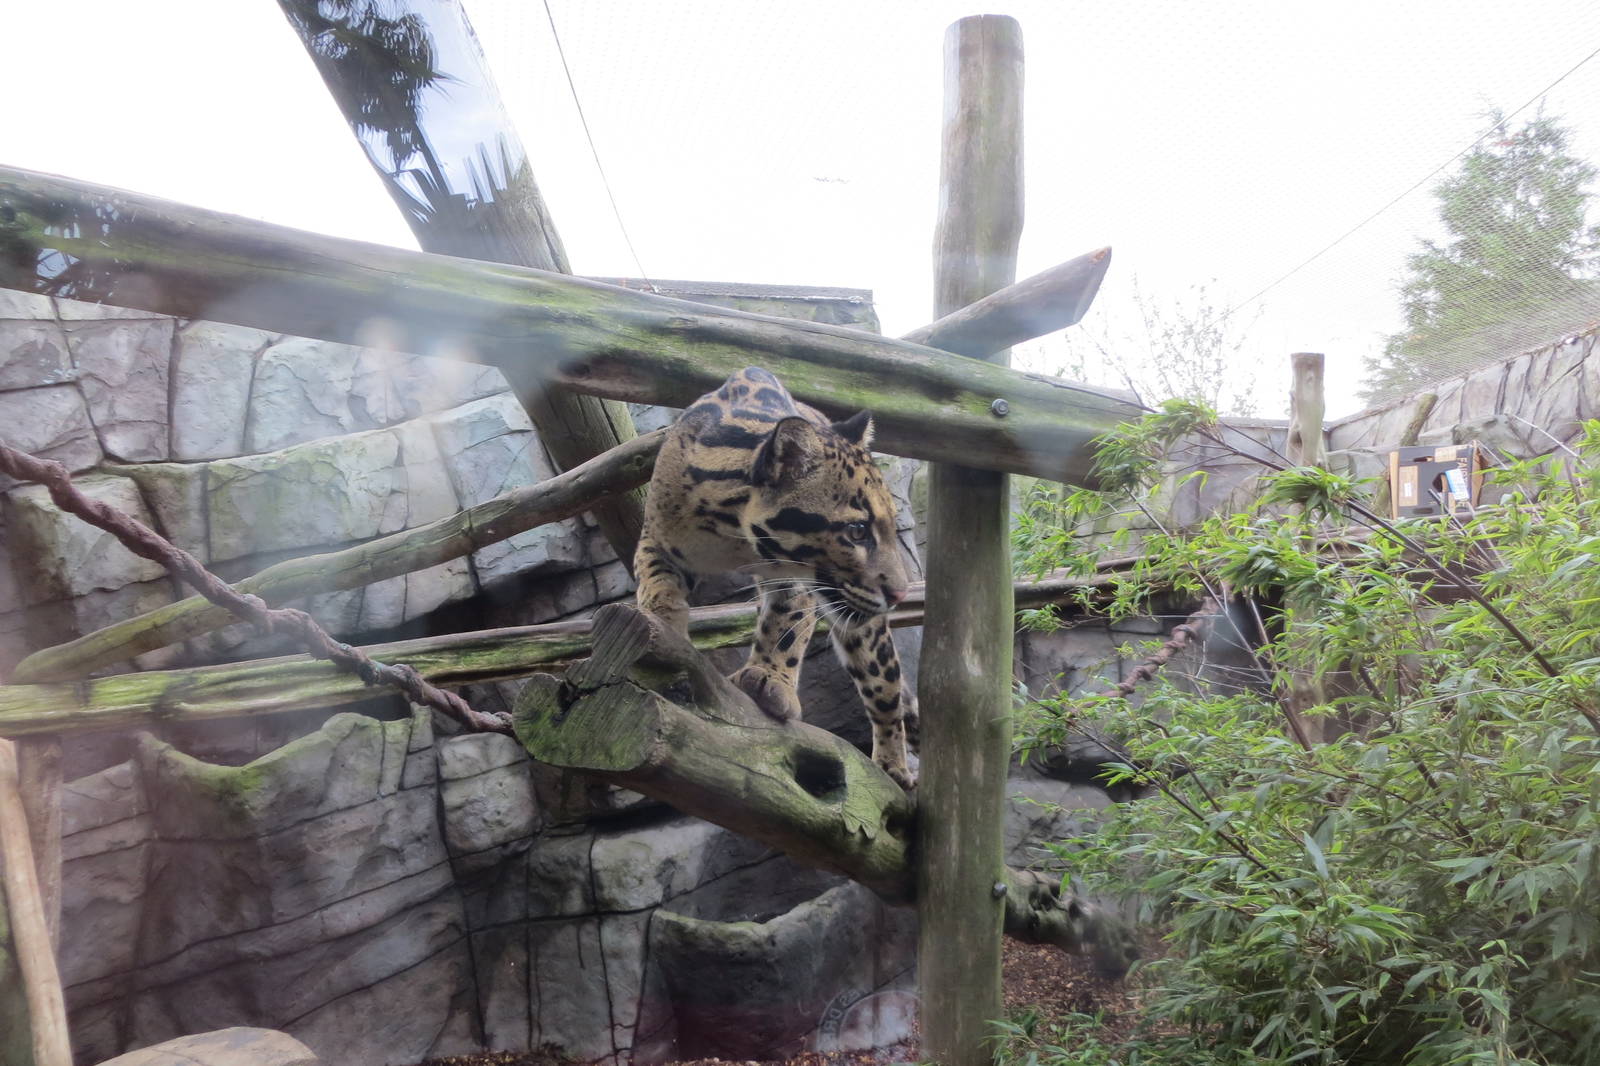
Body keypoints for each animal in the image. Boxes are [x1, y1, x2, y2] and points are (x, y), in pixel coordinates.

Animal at [633, 366, 919, 788]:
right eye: (856, 531)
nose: (899, 593)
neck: (732, 533)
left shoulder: (793, 575)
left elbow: (787, 623)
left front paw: (770, 679)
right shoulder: (655, 538)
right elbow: (657, 585)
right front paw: (664, 625)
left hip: (867, 636)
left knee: (886, 692)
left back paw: (892, 765)